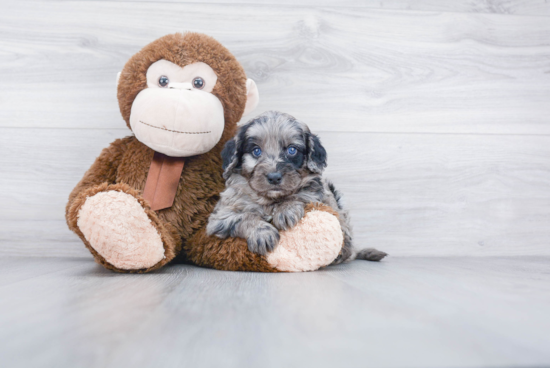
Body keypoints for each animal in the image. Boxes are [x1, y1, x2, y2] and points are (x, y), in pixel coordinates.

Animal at [207, 110, 388, 264]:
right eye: (256, 151)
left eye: (292, 150)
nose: (274, 177)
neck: (270, 200)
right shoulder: (220, 217)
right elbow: (245, 216)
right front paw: (262, 233)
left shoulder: (318, 193)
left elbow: (300, 194)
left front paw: (286, 210)